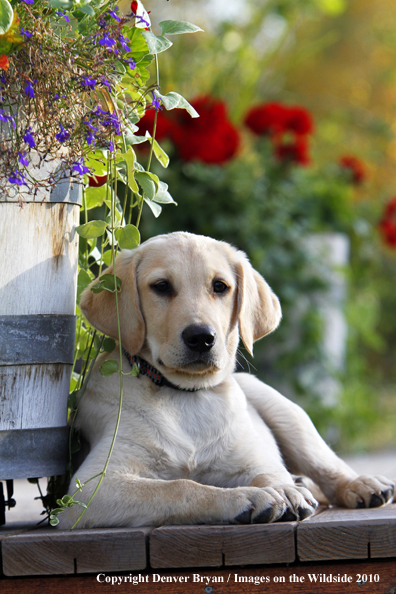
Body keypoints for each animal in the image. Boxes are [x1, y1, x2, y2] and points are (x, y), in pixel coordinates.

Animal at [59, 231, 396, 528]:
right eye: (161, 286)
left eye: (220, 286)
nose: (201, 337)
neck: (186, 395)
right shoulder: (90, 489)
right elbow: (180, 487)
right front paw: (249, 499)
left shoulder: (256, 457)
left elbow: (269, 473)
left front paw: (284, 489)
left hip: (284, 411)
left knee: (326, 465)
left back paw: (361, 484)